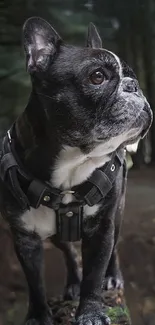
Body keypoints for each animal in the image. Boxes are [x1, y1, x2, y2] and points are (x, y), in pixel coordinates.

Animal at [0, 17, 153, 324]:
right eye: (97, 77)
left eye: (132, 76)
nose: (134, 85)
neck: (72, 166)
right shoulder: (25, 238)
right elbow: (35, 282)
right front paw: (38, 316)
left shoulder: (101, 229)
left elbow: (94, 274)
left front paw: (91, 312)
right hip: (55, 235)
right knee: (68, 250)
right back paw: (72, 283)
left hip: (117, 214)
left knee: (113, 249)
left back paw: (112, 278)